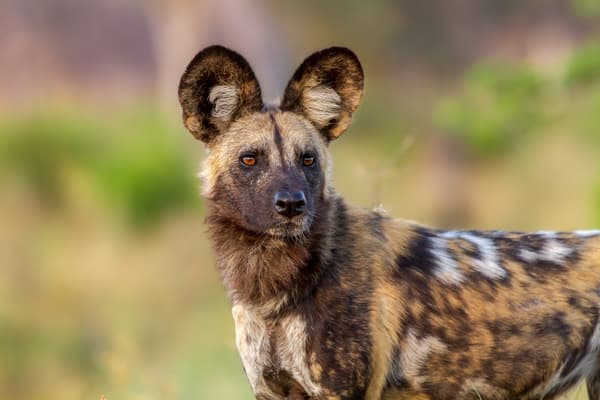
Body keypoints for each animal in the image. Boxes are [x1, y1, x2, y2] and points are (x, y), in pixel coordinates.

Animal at [178, 45, 600, 398]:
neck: (273, 290)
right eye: (250, 159)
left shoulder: (341, 391)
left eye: (307, 160)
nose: (292, 204)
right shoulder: (272, 391)